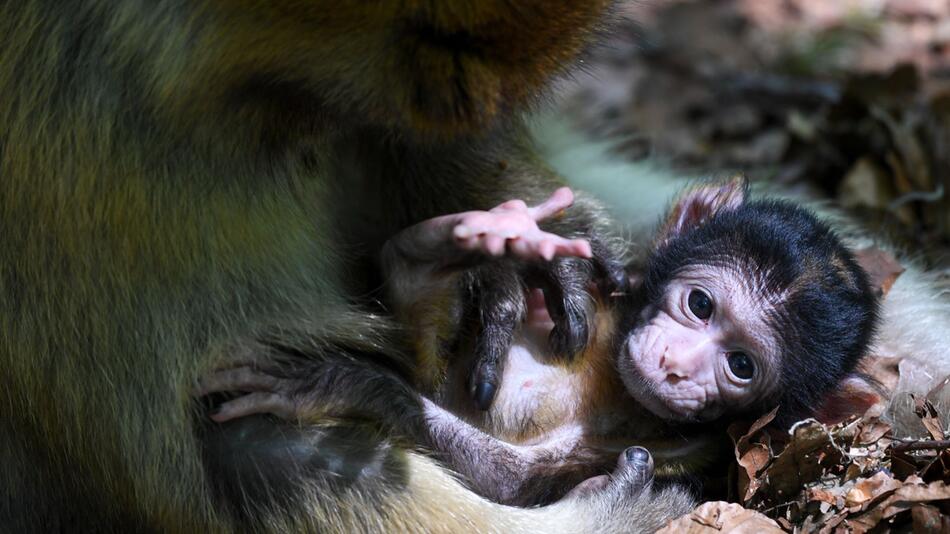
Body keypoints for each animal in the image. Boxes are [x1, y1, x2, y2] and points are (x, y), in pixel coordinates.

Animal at [201, 179, 876, 506]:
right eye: (700, 305)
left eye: (740, 365)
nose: (675, 366)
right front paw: (457, 249)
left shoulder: (691, 450)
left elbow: (513, 484)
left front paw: (355, 386)